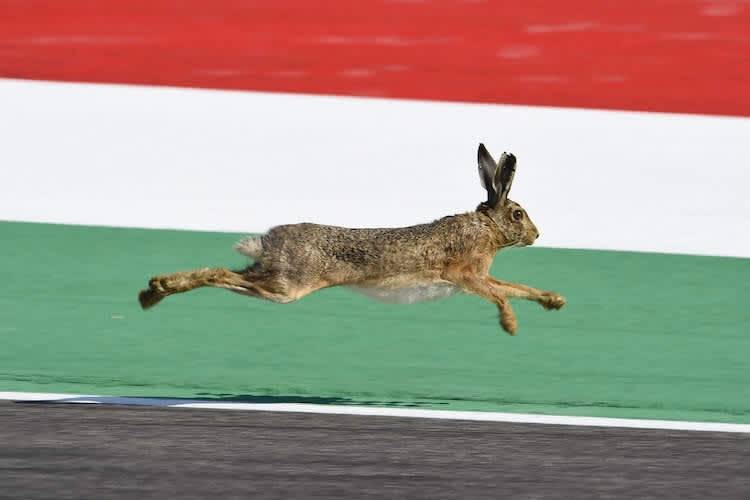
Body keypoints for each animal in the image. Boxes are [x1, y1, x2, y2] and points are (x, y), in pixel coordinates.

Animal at [138, 144, 565, 334]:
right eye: (518, 214)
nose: (536, 234)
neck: (486, 228)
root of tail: (269, 241)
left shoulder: (479, 277)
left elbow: (516, 288)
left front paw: (554, 301)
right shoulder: (463, 274)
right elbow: (501, 295)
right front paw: (510, 325)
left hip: (271, 279)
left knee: (225, 273)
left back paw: (152, 292)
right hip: (287, 287)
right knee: (219, 273)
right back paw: (156, 291)